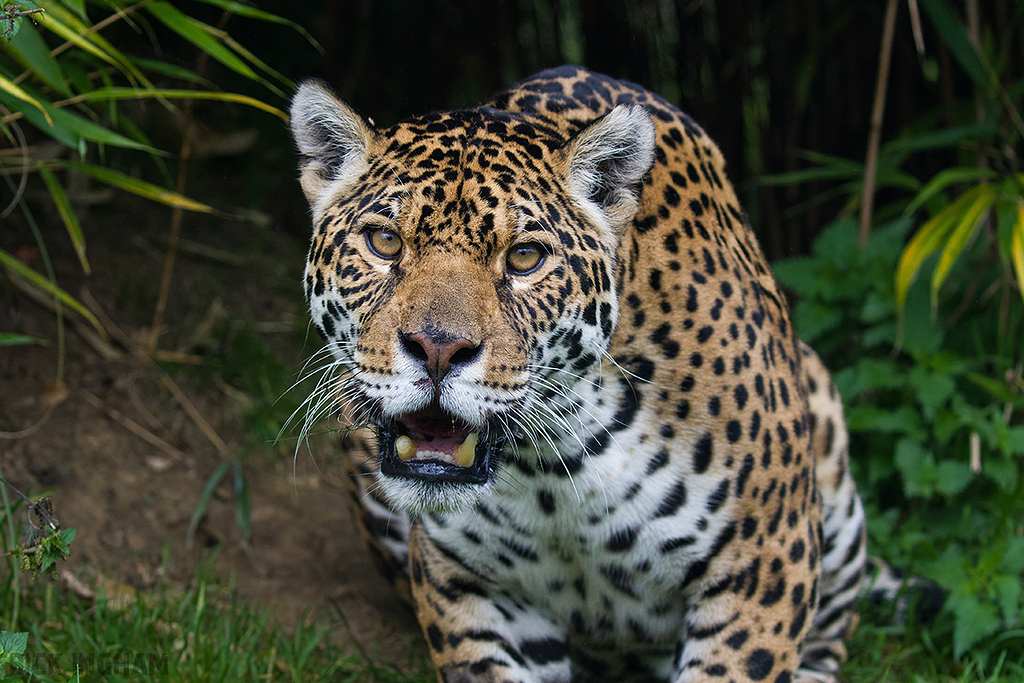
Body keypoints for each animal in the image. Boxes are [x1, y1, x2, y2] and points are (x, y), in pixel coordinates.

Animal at [289, 66, 871, 683]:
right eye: (384, 242)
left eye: (524, 257)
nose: (438, 350)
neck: (556, 462)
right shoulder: (472, 586)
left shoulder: (761, 567)